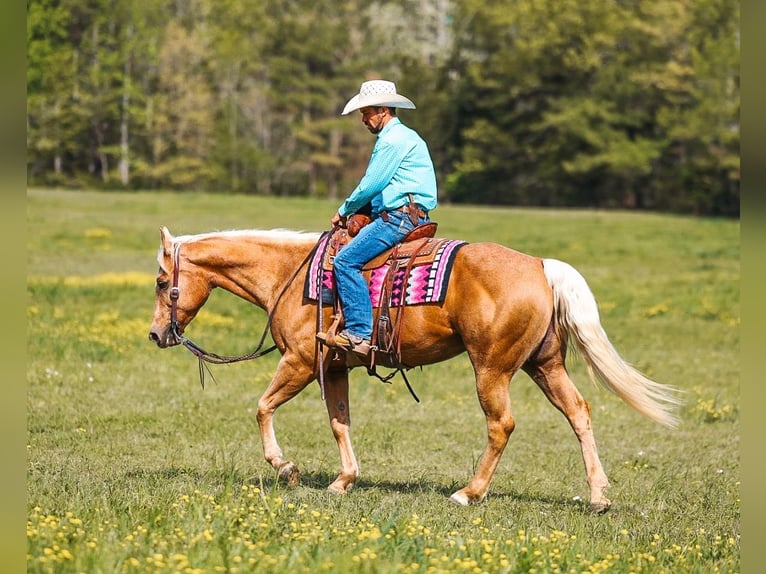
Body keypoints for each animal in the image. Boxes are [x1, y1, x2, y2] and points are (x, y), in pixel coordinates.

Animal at [148, 225, 681, 512]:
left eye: (159, 281)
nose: (156, 335)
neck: (290, 276)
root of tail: (540, 265)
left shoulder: (299, 361)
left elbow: (262, 407)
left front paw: (287, 468)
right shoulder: (333, 367)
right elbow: (340, 422)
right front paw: (344, 480)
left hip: (492, 368)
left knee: (502, 425)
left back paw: (469, 493)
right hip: (543, 364)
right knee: (579, 413)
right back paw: (598, 496)